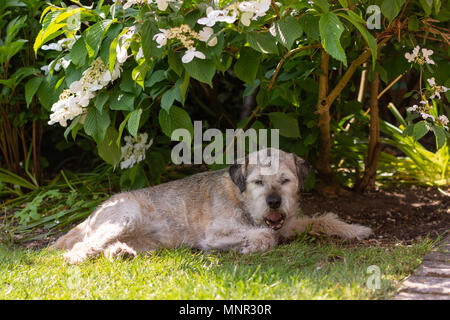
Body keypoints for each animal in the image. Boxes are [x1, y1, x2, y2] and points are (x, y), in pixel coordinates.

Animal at [53, 149, 372, 264]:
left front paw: (354, 229)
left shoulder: (290, 223)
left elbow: (322, 219)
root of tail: (92, 214)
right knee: (83, 245)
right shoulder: (216, 235)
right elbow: (264, 236)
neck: (242, 200)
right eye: (258, 182)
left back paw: (120, 252)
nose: (273, 202)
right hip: (124, 217)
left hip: (148, 242)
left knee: (105, 245)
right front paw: (251, 247)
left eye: (285, 180)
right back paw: (79, 256)